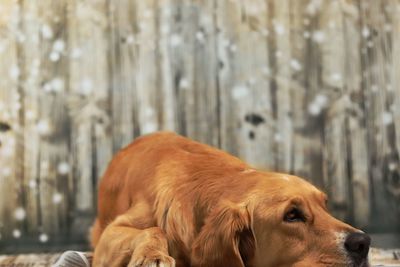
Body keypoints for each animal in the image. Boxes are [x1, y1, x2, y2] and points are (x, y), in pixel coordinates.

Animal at [90, 132, 368, 267]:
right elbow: (153, 229)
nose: (363, 243)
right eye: (292, 215)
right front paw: (152, 256)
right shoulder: (109, 237)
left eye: (325, 206)